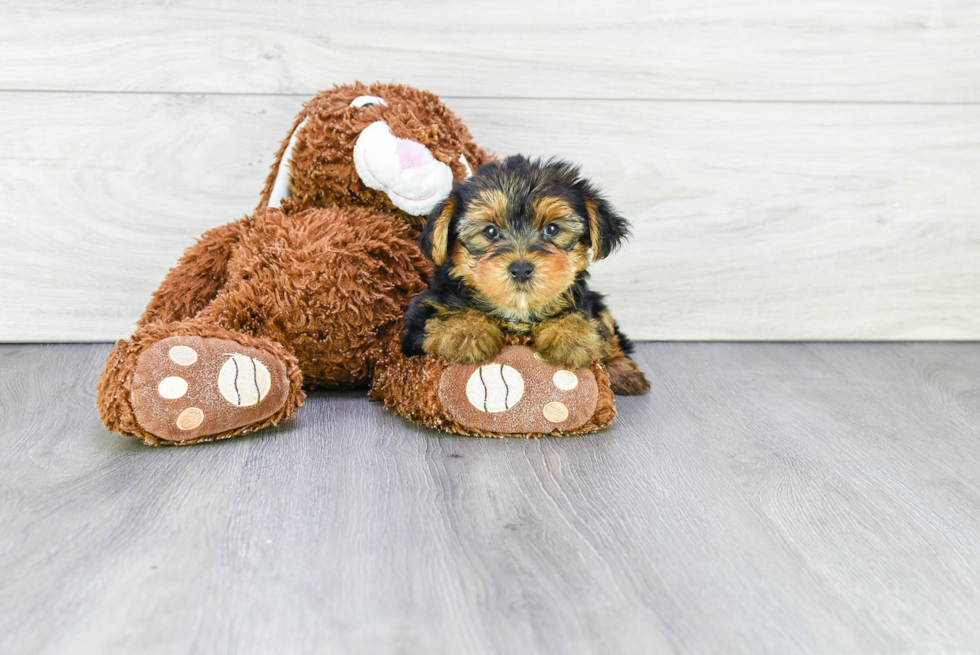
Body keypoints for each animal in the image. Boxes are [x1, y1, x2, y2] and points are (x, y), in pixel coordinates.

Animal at [398, 156, 652, 398]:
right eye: (490, 231)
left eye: (552, 229)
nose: (521, 268)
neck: (518, 309)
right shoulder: (423, 311)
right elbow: (443, 315)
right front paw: (466, 332)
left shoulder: (585, 301)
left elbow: (581, 316)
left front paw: (572, 337)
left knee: (610, 332)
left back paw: (623, 372)